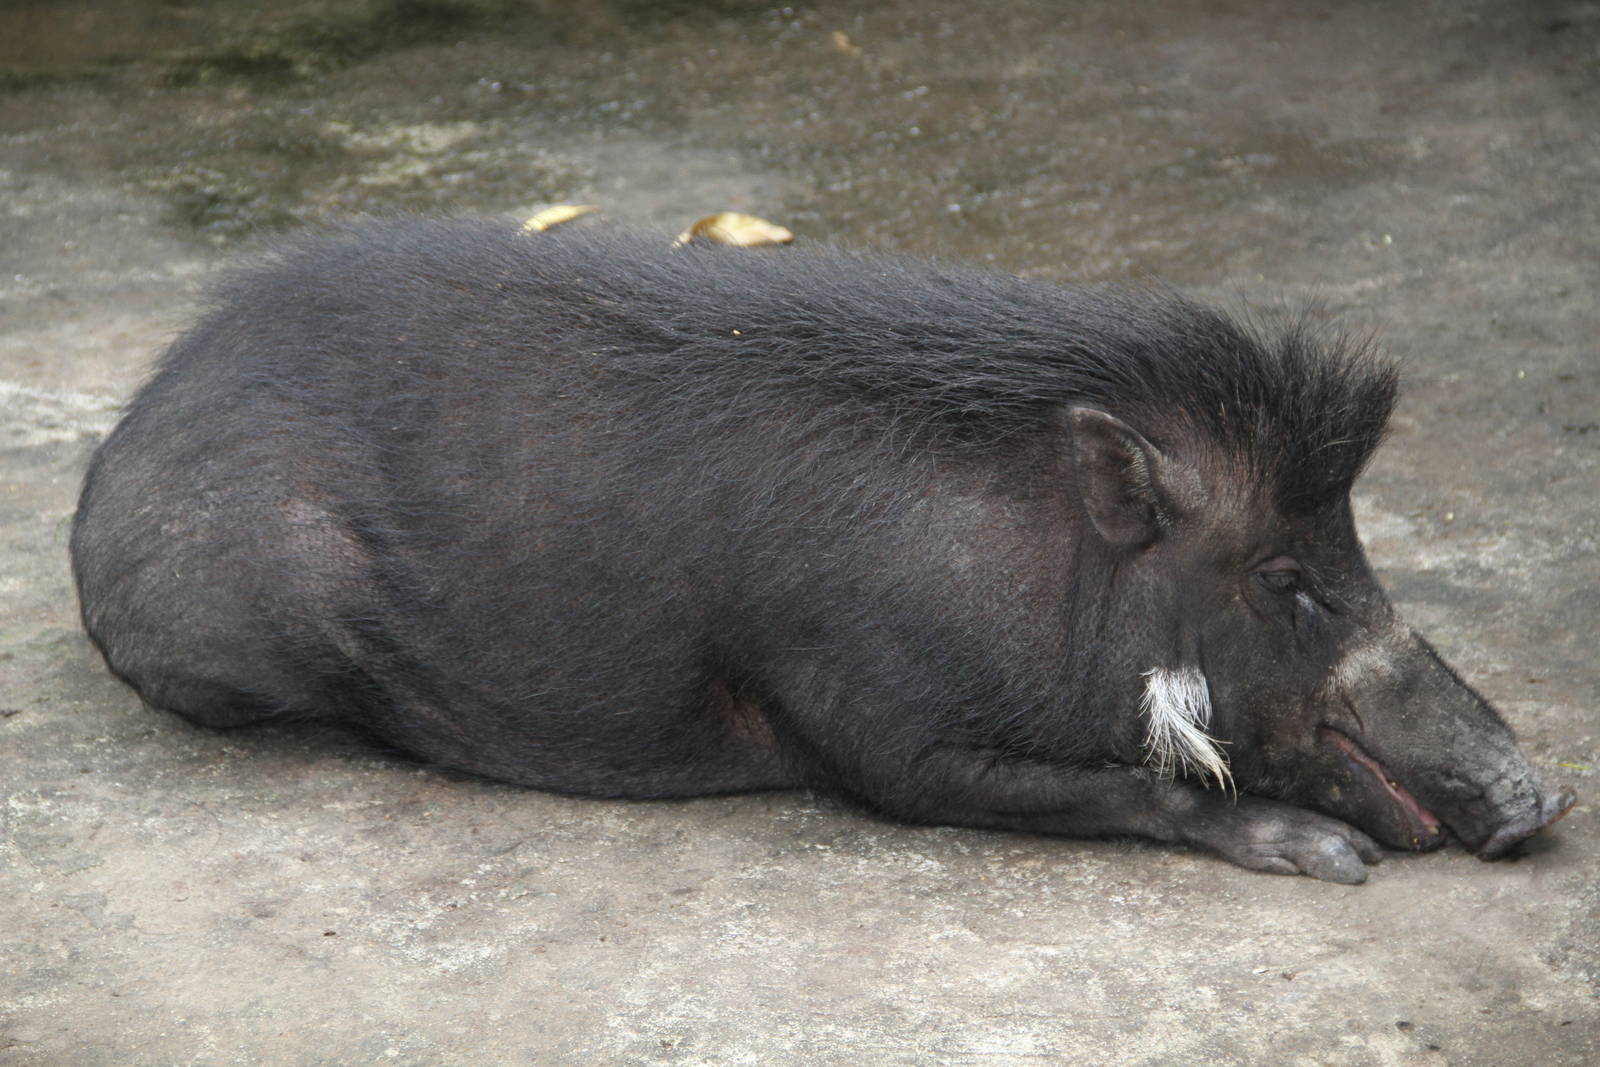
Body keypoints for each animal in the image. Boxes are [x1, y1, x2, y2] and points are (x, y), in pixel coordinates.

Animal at [70, 217, 1574, 883]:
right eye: (1285, 579)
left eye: (1352, 547)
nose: (1550, 796)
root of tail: (119, 446)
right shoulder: (869, 726)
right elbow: (1124, 786)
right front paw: (1332, 857)